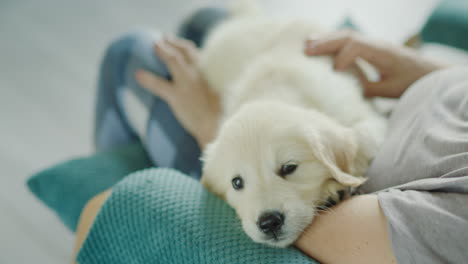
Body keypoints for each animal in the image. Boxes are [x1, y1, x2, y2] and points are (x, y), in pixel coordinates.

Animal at [199, 5, 386, 248]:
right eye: (237, 183)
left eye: (289, 168)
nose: (269, 222)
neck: (275, 87)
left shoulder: (364, 116)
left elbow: (361, 140)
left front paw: (334, 188)